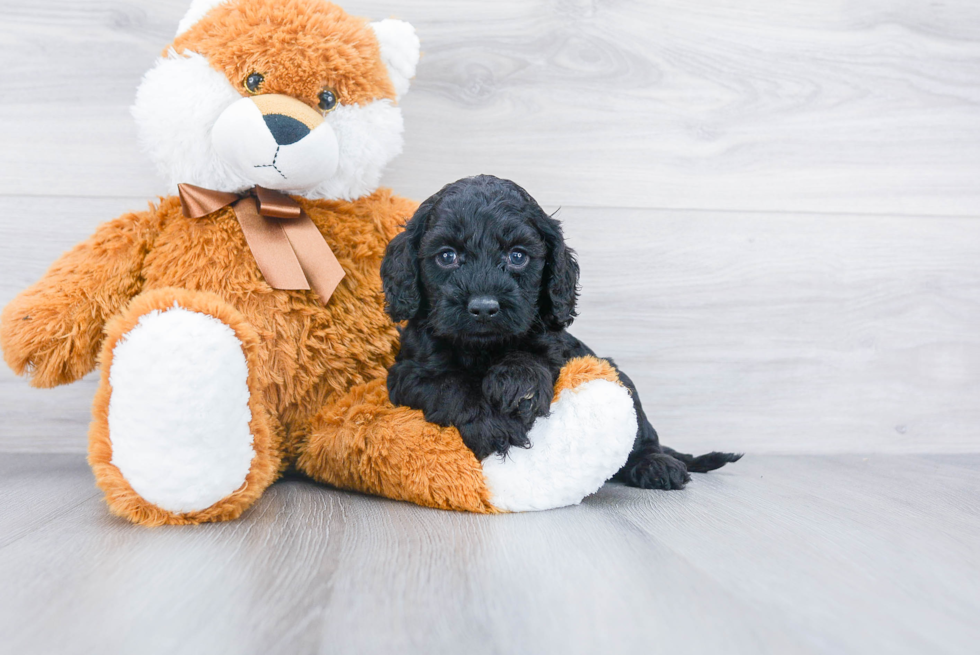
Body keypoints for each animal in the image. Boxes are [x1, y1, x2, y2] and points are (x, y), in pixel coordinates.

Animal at [378, 177, 740, 490]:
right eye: (447, 256)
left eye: (518, 256)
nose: (483, 307)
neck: (482, 349)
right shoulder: (407, 372)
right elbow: (449, 384)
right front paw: (494, 425)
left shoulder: (558, 347)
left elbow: (532, 355)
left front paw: (517, 381)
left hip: (618, 377)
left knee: (643, 434)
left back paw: (656, 464)